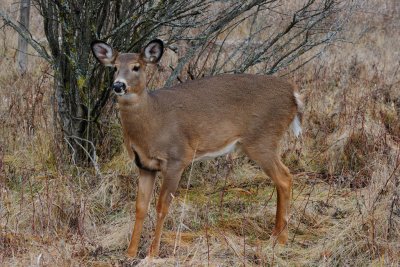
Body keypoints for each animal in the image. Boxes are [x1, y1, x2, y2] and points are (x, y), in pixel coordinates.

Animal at [91, 38, 304, 258]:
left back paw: (281, 239)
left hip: (263, 140)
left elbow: (162, 206)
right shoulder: (145, 165)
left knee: (285, 177)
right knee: (281, 180)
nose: (118, 85)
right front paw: (130, 252)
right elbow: (140, 207)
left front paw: (153, 253)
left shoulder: (177, 159)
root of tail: (294, 93)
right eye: (115, 67)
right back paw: (275, 235)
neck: (152, 121)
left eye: (136, 67)